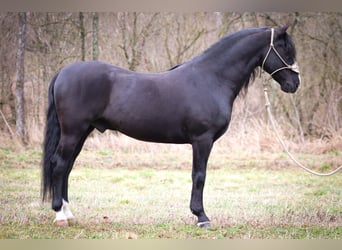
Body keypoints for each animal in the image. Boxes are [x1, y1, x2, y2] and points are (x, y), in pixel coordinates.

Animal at [42, 26, 300, 228]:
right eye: (285, 50)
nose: (294, 84)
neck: (211, 78)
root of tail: (63, 73)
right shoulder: (202, 140)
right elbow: (199, 176)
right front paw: (201, 217)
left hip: (82, 132)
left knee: (67, 167)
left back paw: (68, 213)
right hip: (73, 131)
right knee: (60, 165)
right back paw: (60, 216)